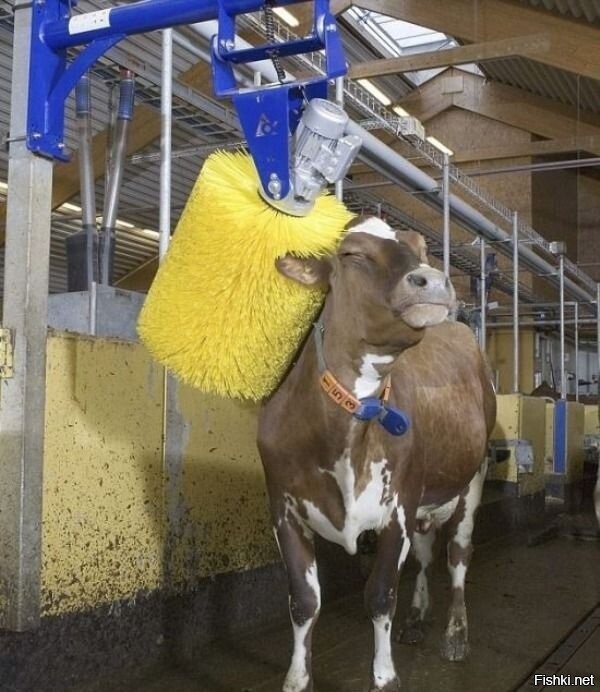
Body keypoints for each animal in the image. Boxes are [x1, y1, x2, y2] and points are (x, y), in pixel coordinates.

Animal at [257, 216, 496, 692]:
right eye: (351, 253)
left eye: (421, 248)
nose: (433, 280)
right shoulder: (283, 508)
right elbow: (304, 600)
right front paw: (297, 678)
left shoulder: (398, 507)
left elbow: (381, 594)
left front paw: (385, 677)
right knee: (425, 554)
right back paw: (418, 617)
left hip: (472, 477)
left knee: (457, 556)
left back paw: (455, 634)